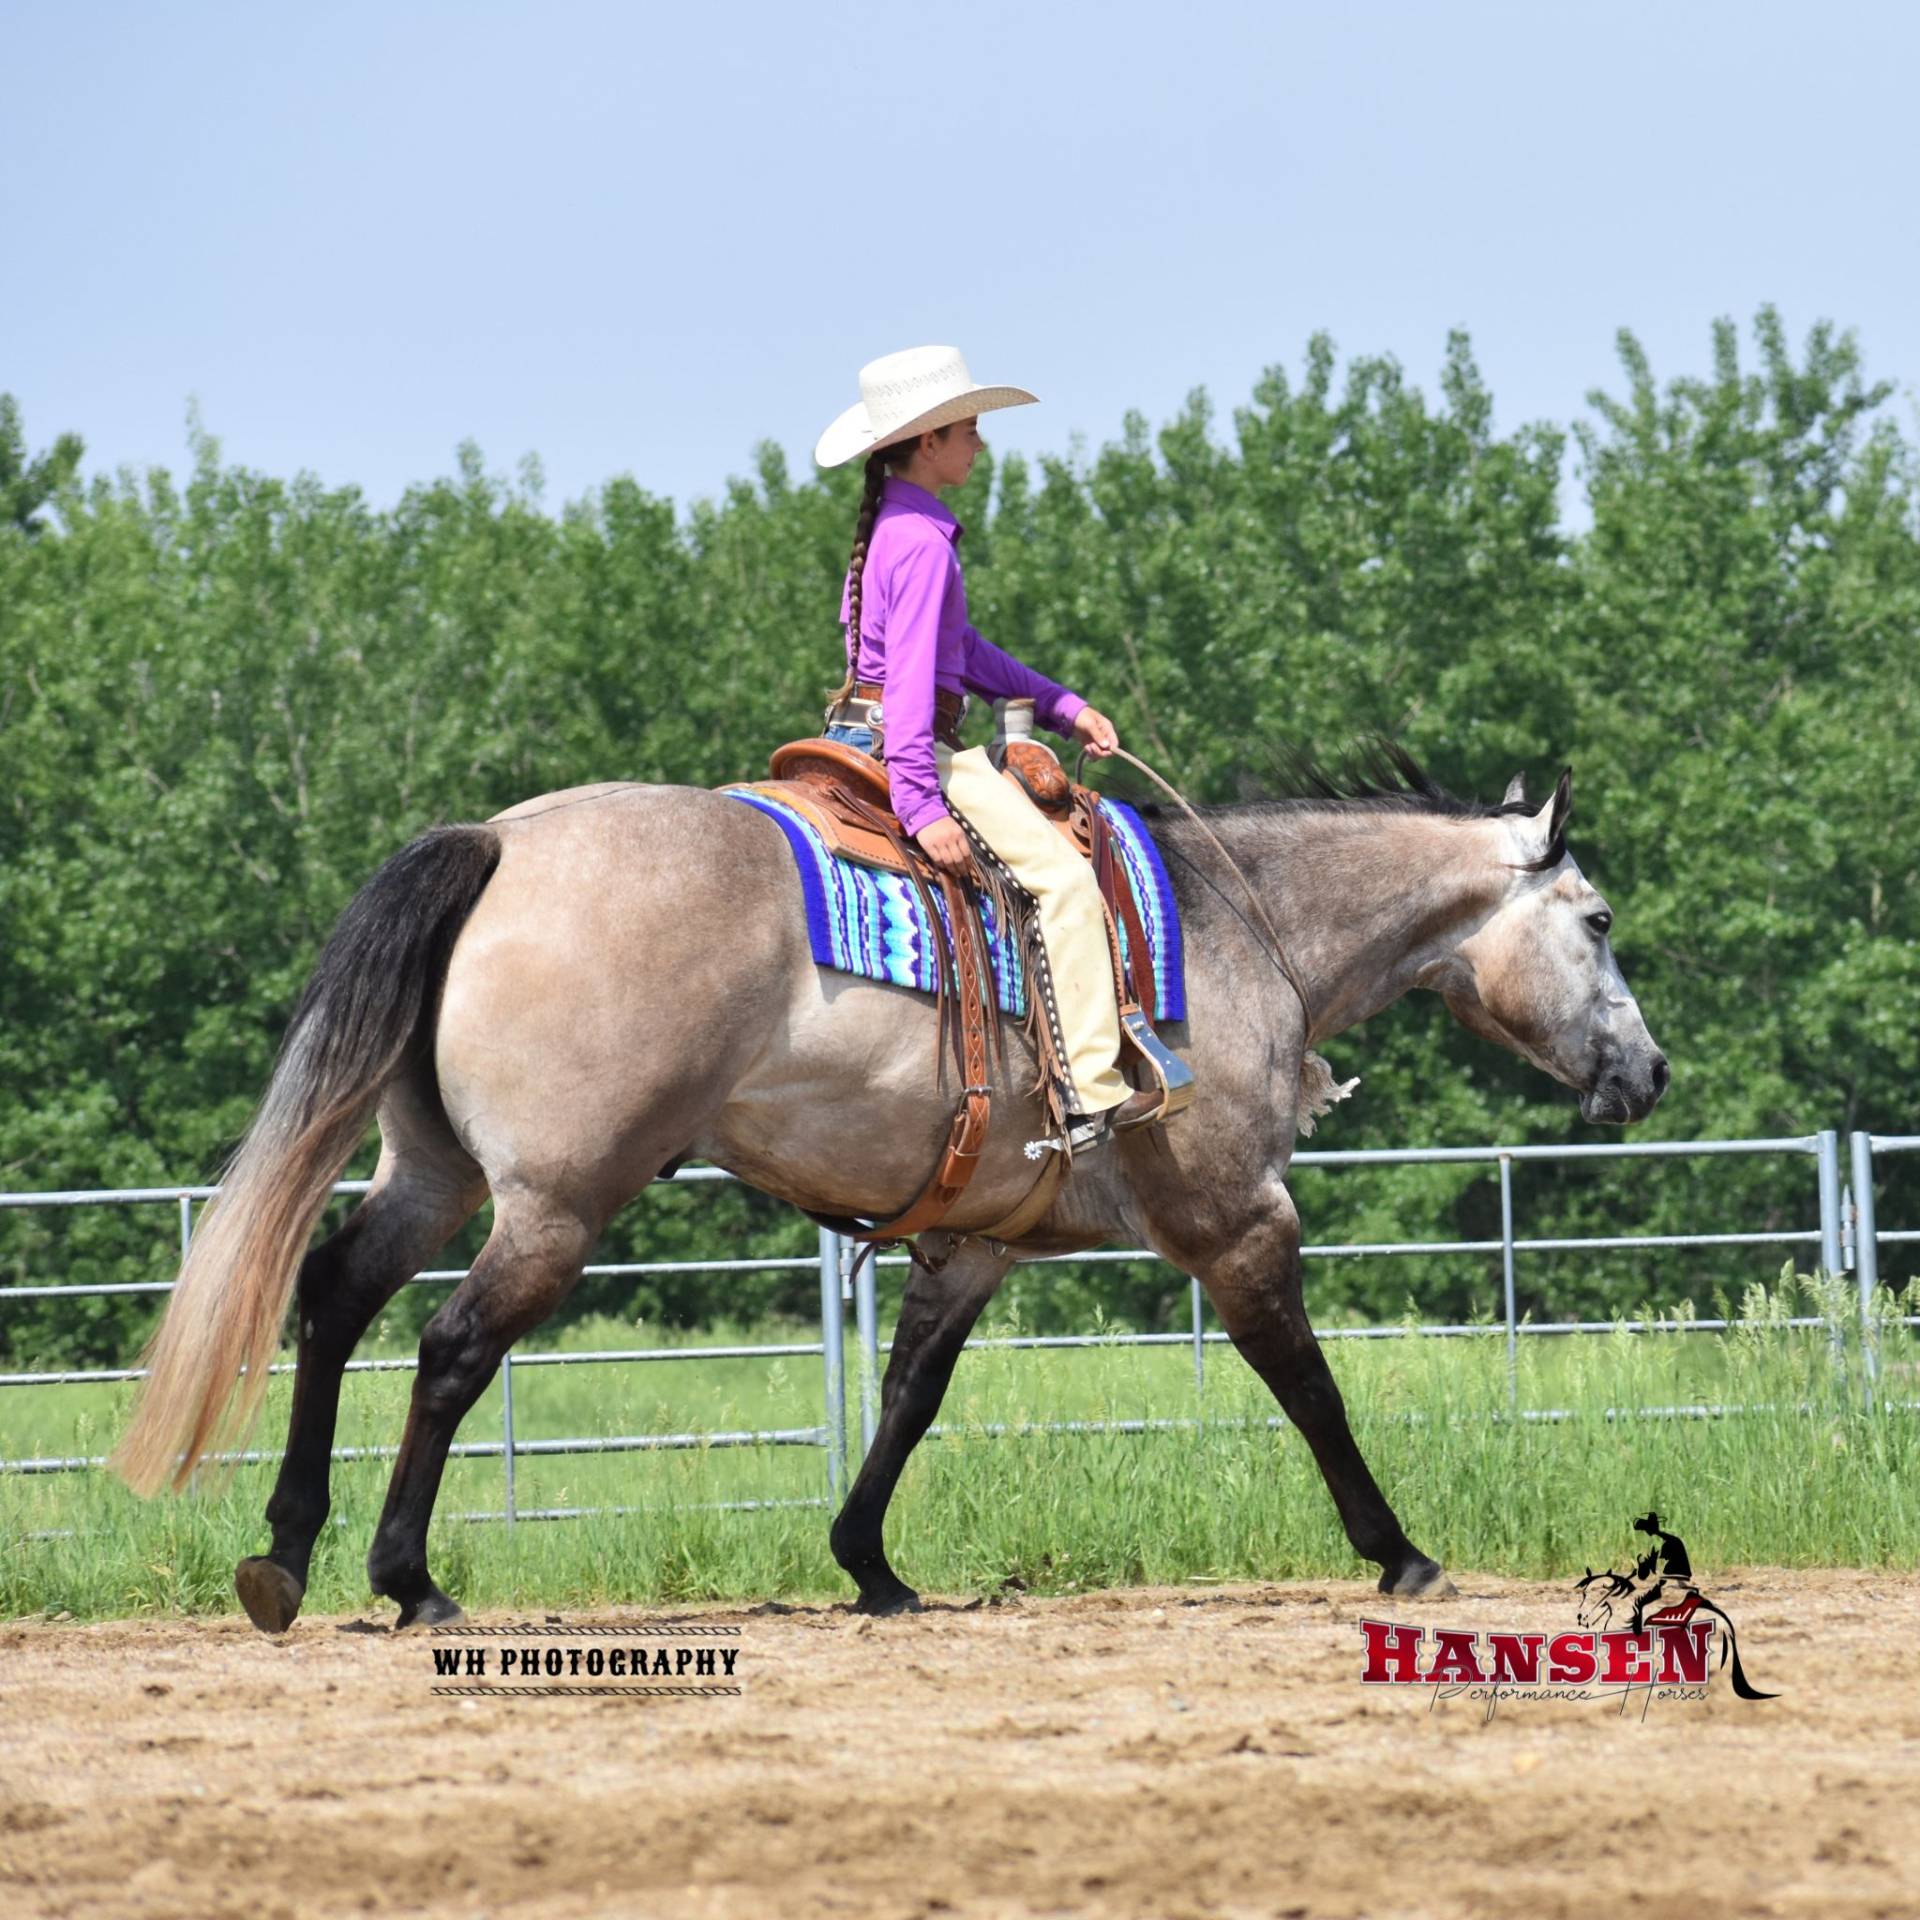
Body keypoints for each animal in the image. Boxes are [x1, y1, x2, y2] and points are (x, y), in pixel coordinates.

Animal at [111, 744, 1668, 1632]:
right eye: (1597, 921)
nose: (1648, 1074)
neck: (1240, 934)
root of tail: (500, 840)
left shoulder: (970, 1245)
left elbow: (911, 1397)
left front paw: (869, 1566)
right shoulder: (1238, 1222)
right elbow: (1310, 1385)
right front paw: (1399, 1553)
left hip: (430, 1173)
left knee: (332, 1295)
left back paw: (287, 1551)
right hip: (552, 1205)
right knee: (447, 1349)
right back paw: (408, 1578)